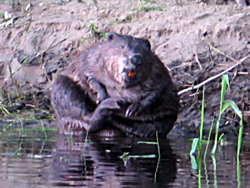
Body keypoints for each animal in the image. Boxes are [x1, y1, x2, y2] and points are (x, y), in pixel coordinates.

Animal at [50, 32, 180, 137]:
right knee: (85, 119)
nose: (135, 59)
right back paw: (109, 105)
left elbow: (156, 91)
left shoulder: (158, 72)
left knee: (155, 127)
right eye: (122, 46)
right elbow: (87, 76)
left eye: (144, 52)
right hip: (61, 87)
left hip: (169, 110)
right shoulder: (89, 58)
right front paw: (102, 97)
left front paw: (133, 108)